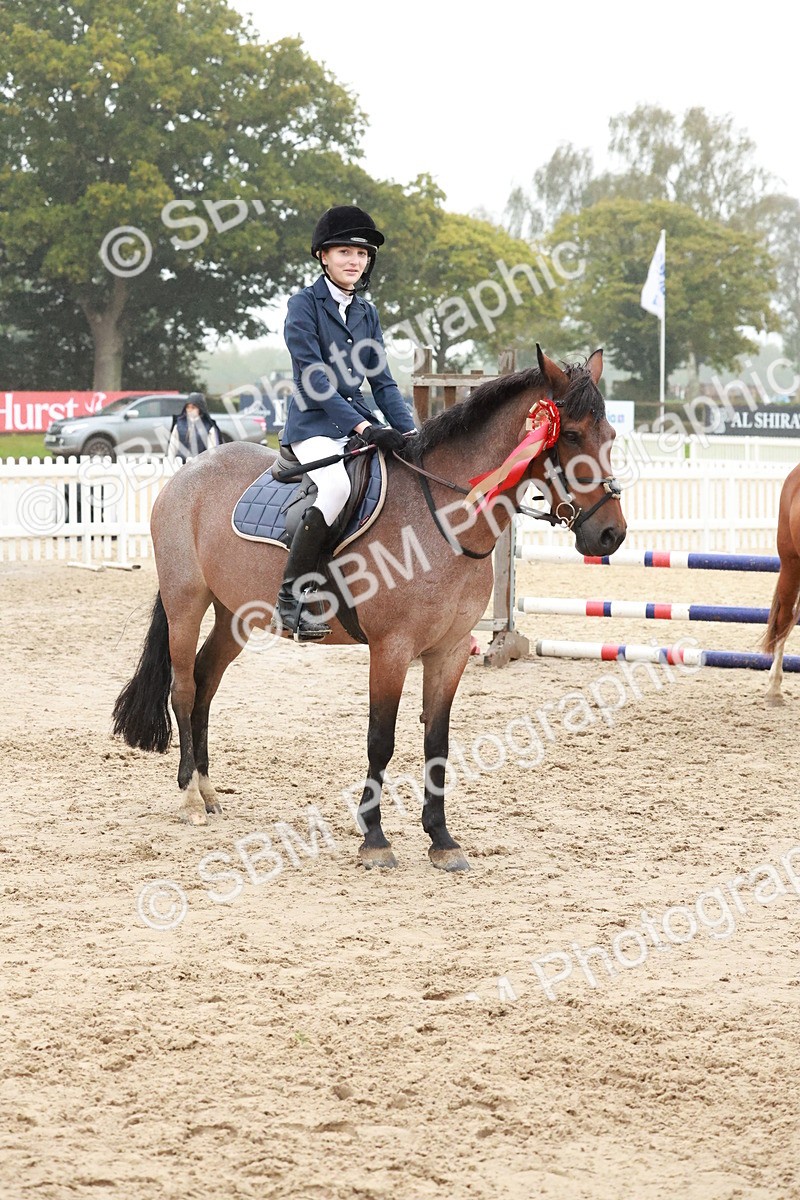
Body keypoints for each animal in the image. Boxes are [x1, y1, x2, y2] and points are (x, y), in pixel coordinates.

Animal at [112, 347, 627, 870]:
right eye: (570, 435)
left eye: (609, 436)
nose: (611, 535)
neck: (444, 517)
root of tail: (188, 470)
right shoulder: (391, 649)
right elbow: (382, 739)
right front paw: (375, 838)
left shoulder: (451, 650)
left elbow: (437, 742)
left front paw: (442, 839)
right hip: (186, 603)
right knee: (183, 688)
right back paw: (190, 799)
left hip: (235, 615)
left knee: (206, 683)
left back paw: (207, 789)